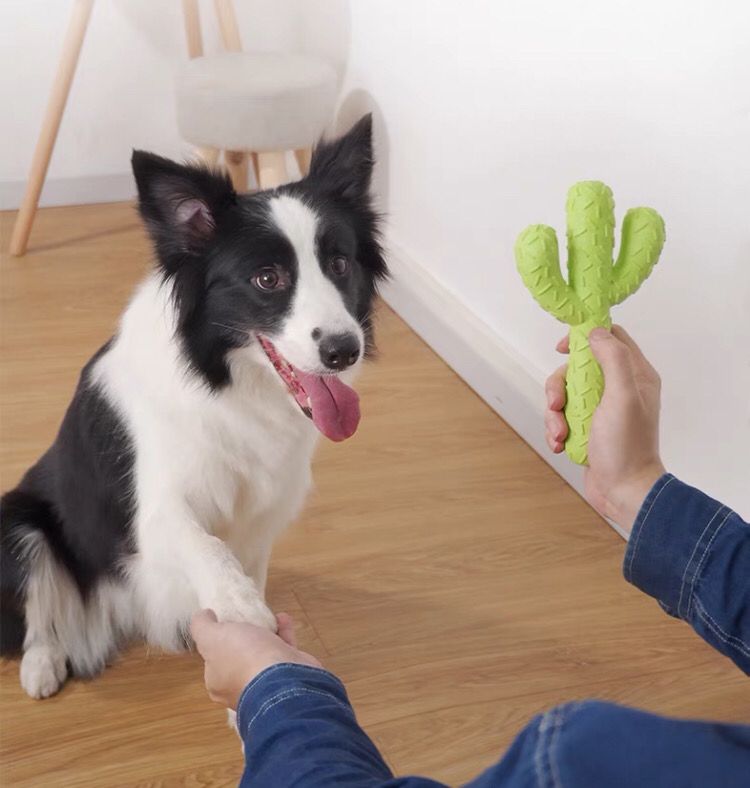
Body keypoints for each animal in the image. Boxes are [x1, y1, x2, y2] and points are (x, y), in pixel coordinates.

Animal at [0, 115, 388, 696]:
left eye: (340, 263)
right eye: (267, 278)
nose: (344, 351)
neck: (229, 384)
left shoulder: (263, 513)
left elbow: (248, 564)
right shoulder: (155, 506)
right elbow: (204, 544)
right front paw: (244, 614)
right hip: (17, 524)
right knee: (38, 615)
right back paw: (42, 666)